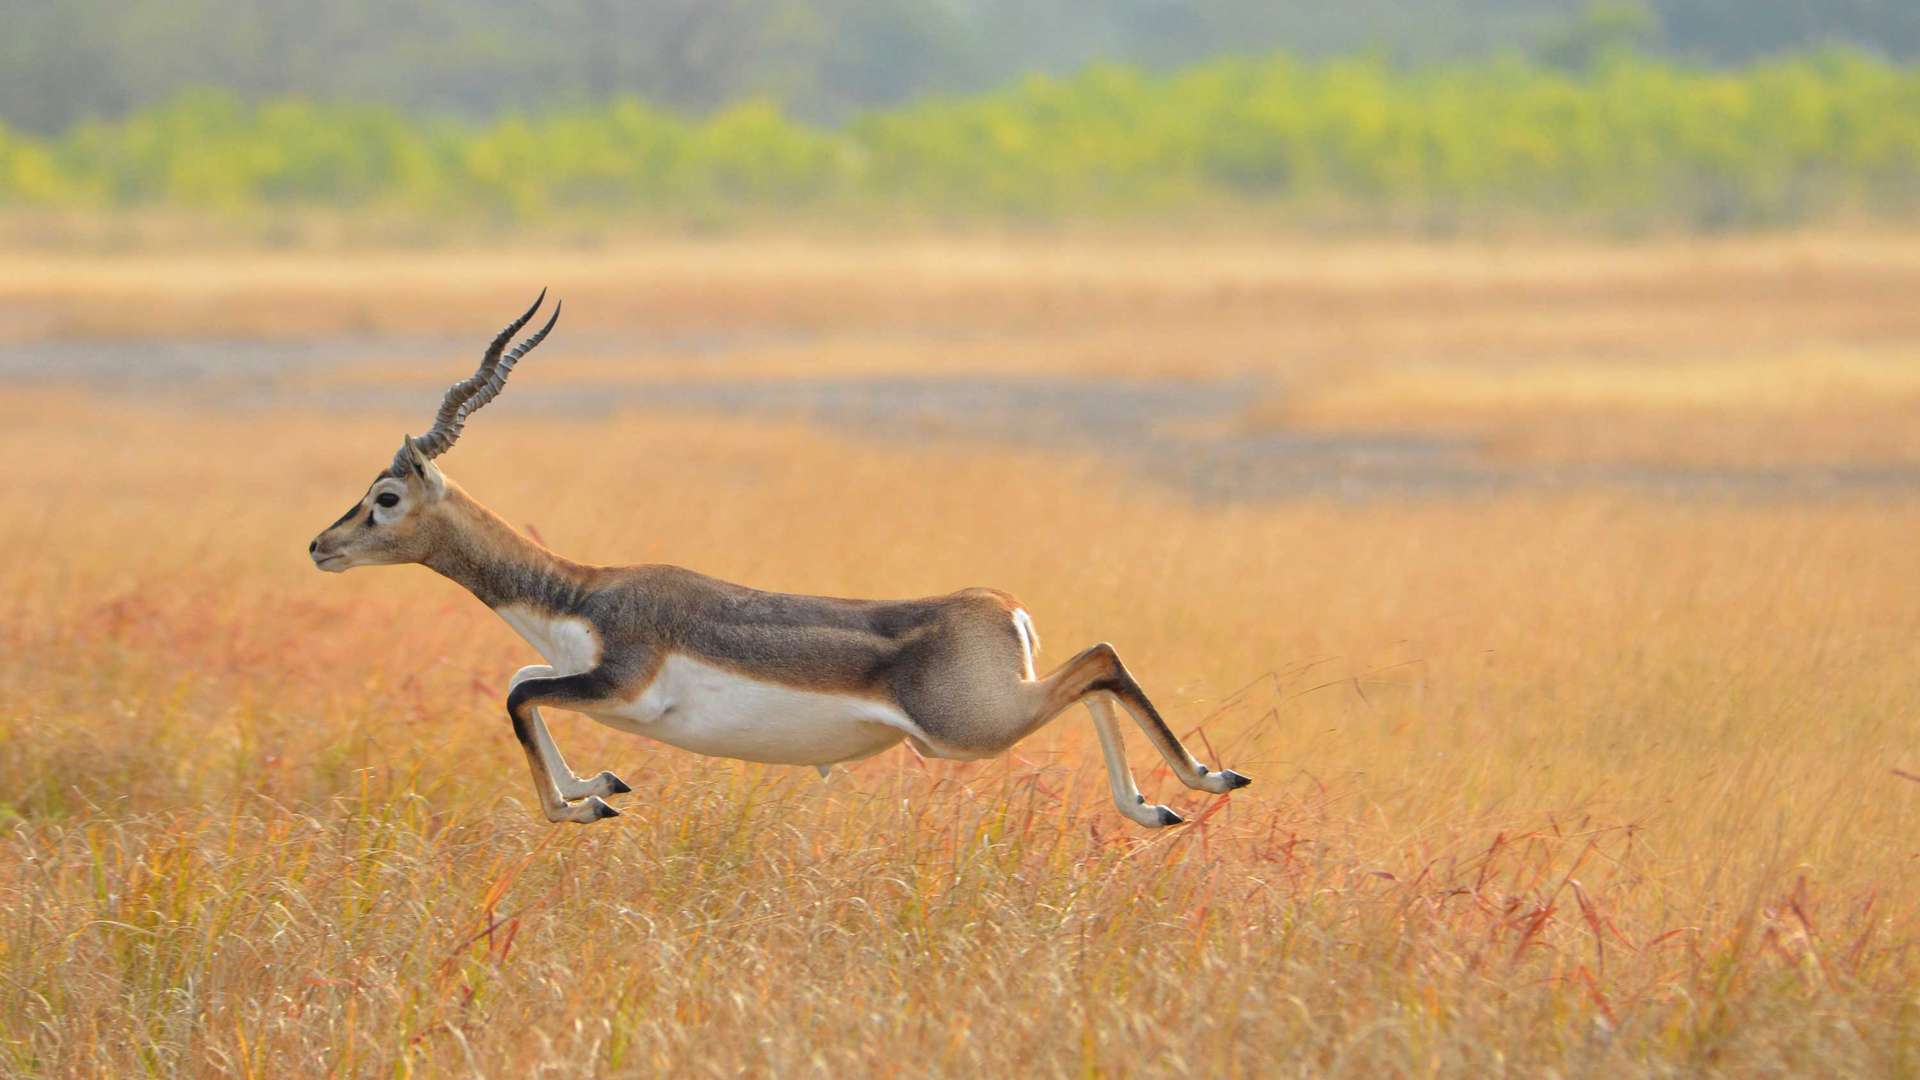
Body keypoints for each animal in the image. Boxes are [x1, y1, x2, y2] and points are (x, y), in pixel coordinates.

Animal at [307, 294, 1251, 822]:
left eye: (385, 497)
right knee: (1093, 675)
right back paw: (1153, 809)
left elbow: (521, 695)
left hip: (967, 730)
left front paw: (577, 809)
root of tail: (1002, 607)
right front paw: (599, 786)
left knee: (1101, 659)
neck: (582, 596)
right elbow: (518, 685)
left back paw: (1209, 777)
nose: (320, 545)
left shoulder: (618, 685)